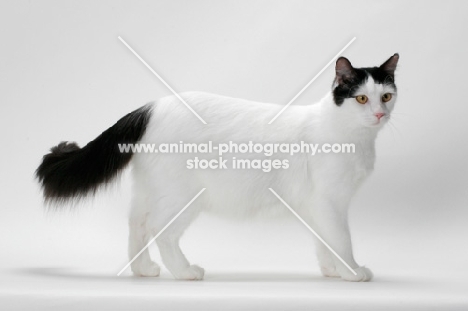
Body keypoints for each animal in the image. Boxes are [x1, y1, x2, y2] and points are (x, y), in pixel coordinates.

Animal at [38, 53, 400, 282]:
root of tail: (150, 106)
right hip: (182, 196)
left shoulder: (317, 208)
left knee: (136, 224)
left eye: (386, 96)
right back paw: (184, 272)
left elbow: (324, 241)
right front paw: (352, 272)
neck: (351, 135)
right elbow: (341, 240)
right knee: (160, 230)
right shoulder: (329, 202)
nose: (379, 114)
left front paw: (331, 271)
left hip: (150, 189)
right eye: (361, 99)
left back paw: (143, 269)